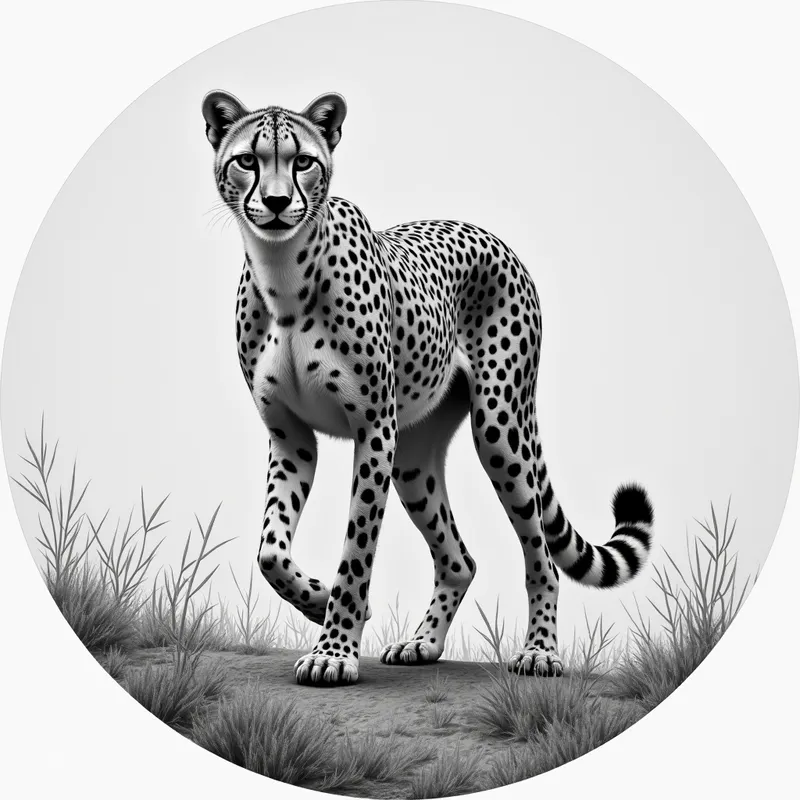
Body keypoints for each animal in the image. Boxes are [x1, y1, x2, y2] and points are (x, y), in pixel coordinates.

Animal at [202, 89, 654, 686]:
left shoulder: (374, 429)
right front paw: (318, 605)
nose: (277, 204)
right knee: (460, 559)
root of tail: (488, 234)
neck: (285, 278)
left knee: (542, 556)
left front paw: (335, 649)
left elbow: (357, 549)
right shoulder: (290, 434)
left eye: (302, 162)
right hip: (414, 456)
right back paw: (423, 643)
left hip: (500, 428)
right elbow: (270, 552)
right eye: (247, 161)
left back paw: (540, 652)